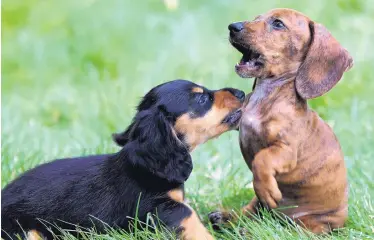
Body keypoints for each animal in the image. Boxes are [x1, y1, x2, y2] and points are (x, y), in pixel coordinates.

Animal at [210, 8, 354, 233]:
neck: (267, 94)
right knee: (250, 214)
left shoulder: (286, 149)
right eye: (256, 18)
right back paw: (226, 219)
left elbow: (262, 159)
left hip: (310, 224)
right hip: (257, 207)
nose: (233, 27)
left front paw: (267, 189)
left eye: (278, 24)